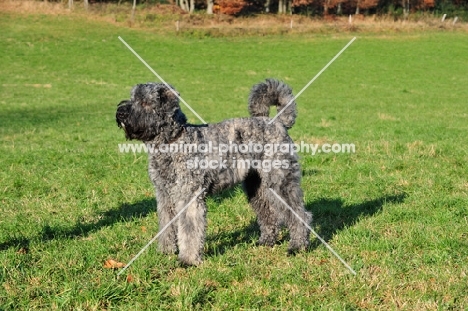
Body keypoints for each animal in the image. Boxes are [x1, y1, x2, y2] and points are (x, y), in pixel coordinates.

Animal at [114, 78, 310, 266]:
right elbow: (166, 224)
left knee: (300, 214)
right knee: (269, 213)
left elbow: (190, 229)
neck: (173, 142)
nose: (120, 113)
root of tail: (278, 122)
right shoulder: (164, 195)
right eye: (132, 97)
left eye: (144, 101)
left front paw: (188, 260)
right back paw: (266, 241)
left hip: (281, 182)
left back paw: (297, 246)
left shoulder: (189, 196)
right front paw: (166, 251)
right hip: (257, 187)